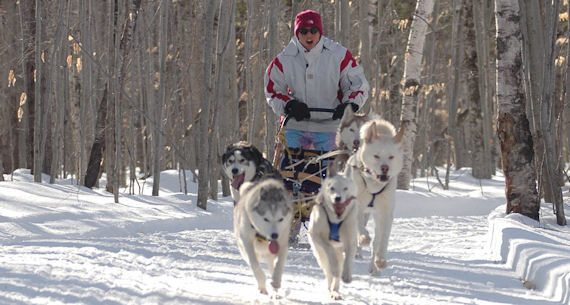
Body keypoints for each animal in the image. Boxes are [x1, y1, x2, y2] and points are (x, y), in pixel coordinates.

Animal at [342, 118, 404, 274]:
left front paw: (380, 260)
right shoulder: (356, 206)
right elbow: (359, 227)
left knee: (376, 241)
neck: (373, 185)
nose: (385, 168)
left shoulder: (386, 214)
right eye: (376, 156)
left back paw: (374, 267)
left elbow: (382, 240)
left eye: (391, 157)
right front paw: (364, 238)